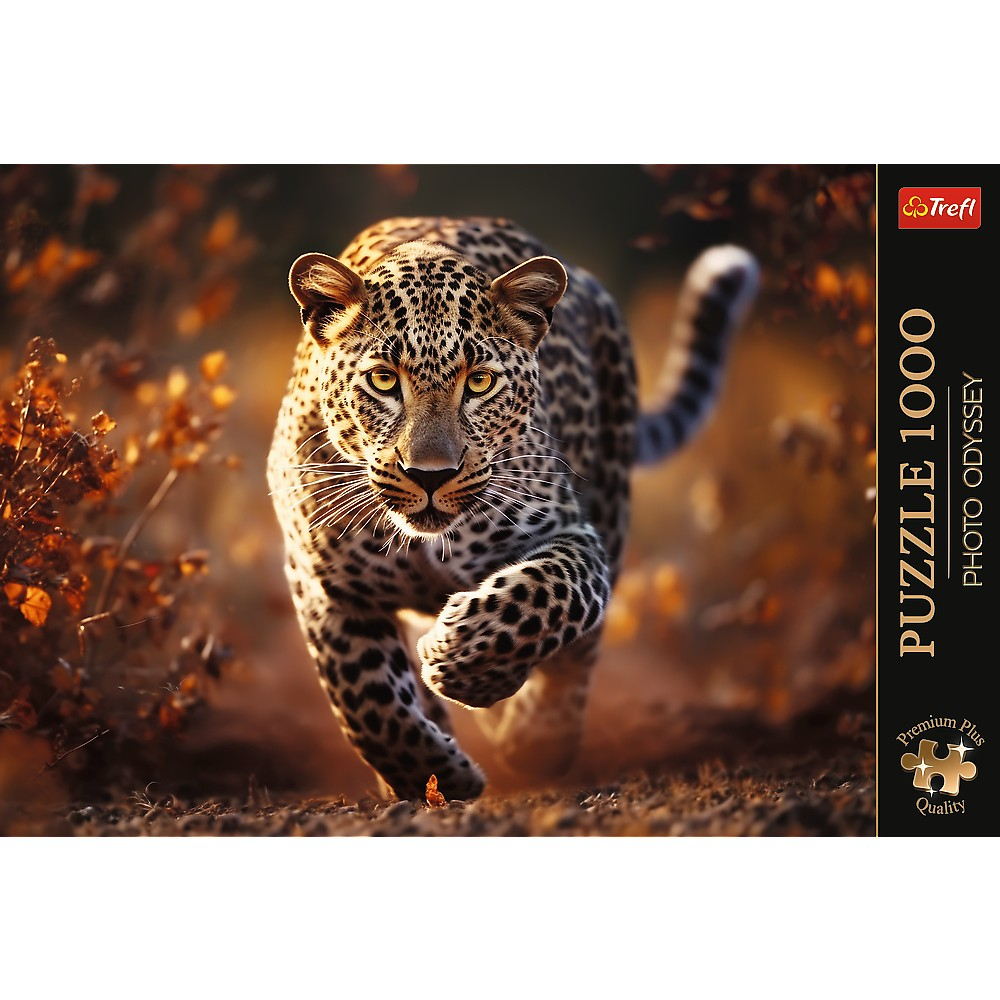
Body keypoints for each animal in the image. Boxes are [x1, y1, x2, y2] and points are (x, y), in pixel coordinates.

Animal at [267, 216, 758, 802]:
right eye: (384, 379)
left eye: (479, 382)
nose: (430, 474)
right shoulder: (324, 584)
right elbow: (365, 698)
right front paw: (433, 774)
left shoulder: (573, 535)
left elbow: (547, 595)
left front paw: (463, 661)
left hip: (612, 497)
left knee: (578, 656)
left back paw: (538, 738)